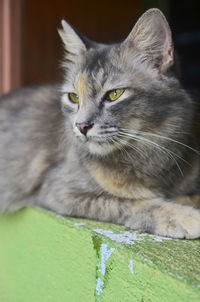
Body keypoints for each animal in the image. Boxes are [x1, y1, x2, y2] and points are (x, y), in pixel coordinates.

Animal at [0, 7, 200, 238]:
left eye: (114, 94)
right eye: (74, 97)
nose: (81, 126)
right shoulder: (59, 191)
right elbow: (131, 202)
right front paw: (181, 216)